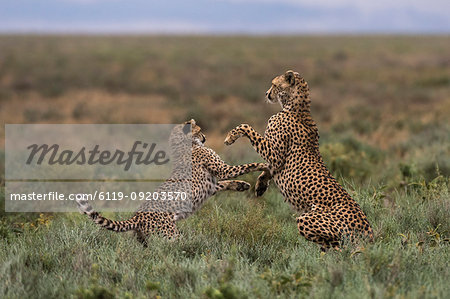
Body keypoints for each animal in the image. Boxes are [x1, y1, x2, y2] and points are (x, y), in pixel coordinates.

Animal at [224, 70, 372, 251]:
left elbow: (247, 127)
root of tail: (368, 230)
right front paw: (261, 185)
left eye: (274, 85)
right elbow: (267, 168)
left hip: (308, 219)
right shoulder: (276, 159)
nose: (266, 93)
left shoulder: (276, 155)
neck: (297, 108)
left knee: (340, 249)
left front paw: (231, 136)